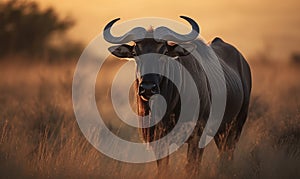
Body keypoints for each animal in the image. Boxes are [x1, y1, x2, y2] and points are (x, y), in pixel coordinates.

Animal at [102, 16, 251, 173]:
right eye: (136, 54)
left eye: (164, 52)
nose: (148, 88)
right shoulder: (159, 141)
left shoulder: (198, 137)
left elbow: (192, 168)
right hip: (221, 132)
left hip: (236, 126)